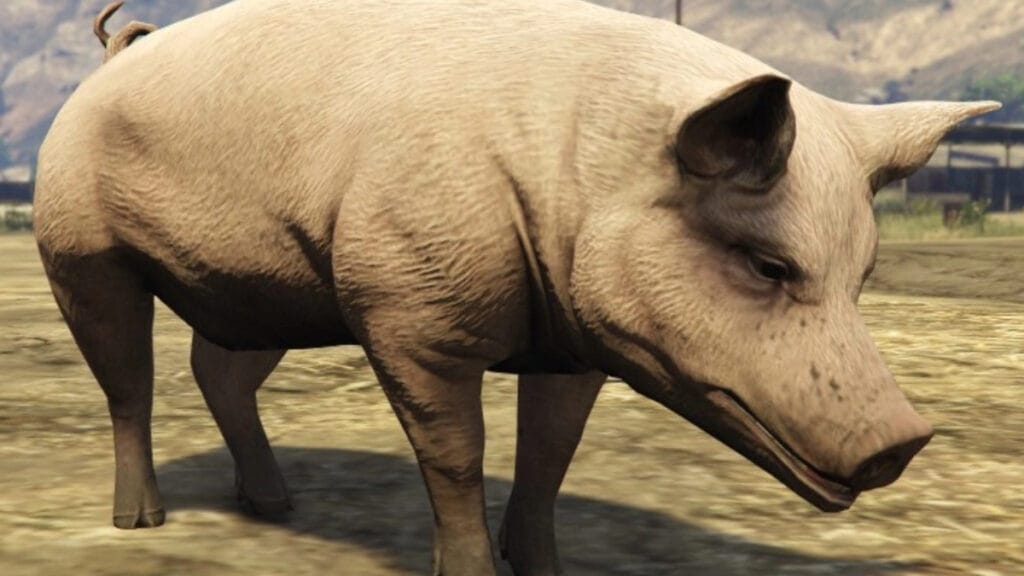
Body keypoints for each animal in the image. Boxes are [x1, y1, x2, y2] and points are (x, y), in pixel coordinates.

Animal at [33, 0, 999, 574]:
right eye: (767, 265)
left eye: (862, 273)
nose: (905, 439)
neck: (578, 178)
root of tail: (108, 65)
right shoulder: (405, 310)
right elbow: (458, 455)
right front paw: (474, 571)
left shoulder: (574, 340)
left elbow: (549, 456)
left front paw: (545, 568)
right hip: (76, 245)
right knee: (129, 383)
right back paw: (141, 524)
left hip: (266, 287)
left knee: (218, 369)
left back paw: (276, 504)